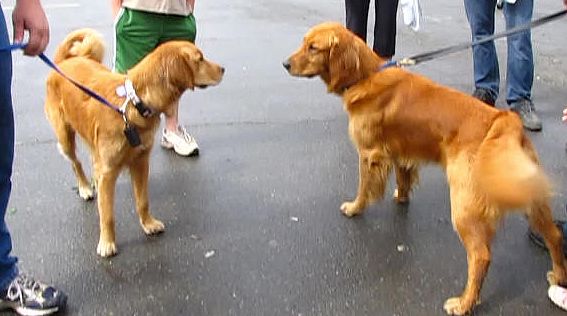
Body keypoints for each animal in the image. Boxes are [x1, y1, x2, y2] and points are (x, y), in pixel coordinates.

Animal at [43, 29, 224, 256]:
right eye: (199, 59)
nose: (223, 69)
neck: (134, 103)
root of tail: (64, 61)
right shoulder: (109, 170)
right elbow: (107, 214)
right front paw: (107, 242)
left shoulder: (141, 161)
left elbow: (142, 200)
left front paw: (148, 224)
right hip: (65, 136)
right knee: (75, 163)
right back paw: (85, 187)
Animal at [284, 21, 567, 314]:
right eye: (304, 42)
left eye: (313, 47)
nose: (285, 64)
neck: (366, 75)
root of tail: (503, 121)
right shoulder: (400, 152)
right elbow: (403, 178)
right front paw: (401, 197)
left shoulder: (369, 154)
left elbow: (364, 187)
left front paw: (354, 208)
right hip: (529, 196)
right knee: (555, 235)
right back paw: (558, 276)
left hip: (464, 206)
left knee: (481, 257)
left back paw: (464, 303)